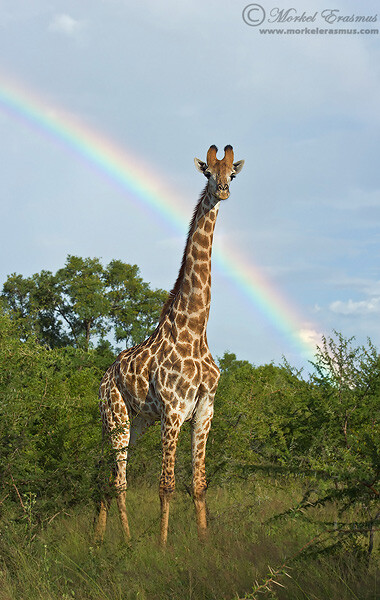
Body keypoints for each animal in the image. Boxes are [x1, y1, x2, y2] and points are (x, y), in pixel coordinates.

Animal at [93, 144, 245, 544]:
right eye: (207, 172)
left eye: (232, 174)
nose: (223, 190)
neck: (195, 329)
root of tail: (104, 378)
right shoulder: (174, 411)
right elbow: (166, 485)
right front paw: (162, 547)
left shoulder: (205, 410)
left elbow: (199, 483)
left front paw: (204, 542)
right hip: (115, 417)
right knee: (119, 481)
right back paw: (126, 541)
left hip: (137, 422)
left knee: (106, 476)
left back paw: (97, 540)